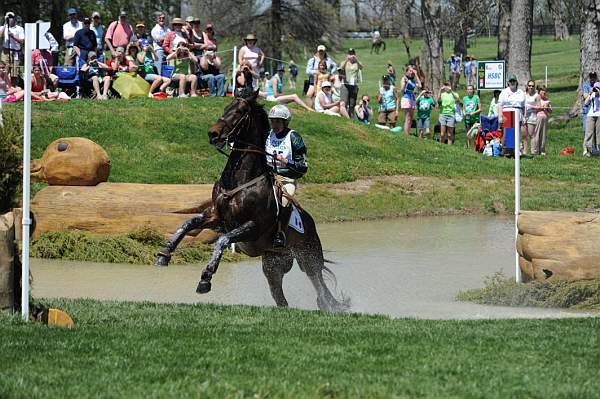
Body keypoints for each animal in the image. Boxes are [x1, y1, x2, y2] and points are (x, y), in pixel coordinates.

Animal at [155, 90, 350, 312]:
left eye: (239, 112)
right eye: (226, 108)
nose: (213, 134)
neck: (239, 180)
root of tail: (311, 223)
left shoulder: (252, 227)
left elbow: (222, 241)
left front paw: (206, 278)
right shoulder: (217, 217)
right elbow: (187, 223)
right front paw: (164, 253)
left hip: (309, 257)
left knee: (320, 287)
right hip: (274, 264)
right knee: (281, 297)